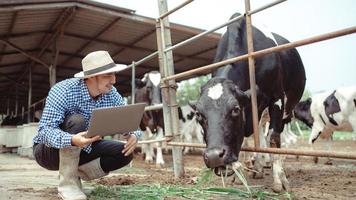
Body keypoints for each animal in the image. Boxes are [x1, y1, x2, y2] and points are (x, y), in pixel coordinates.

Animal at [192, 12, 306, 192]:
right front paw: (240, 176)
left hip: (287, 110)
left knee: (277, 135)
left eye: (235, 109)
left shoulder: (277, 98)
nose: (214, 156)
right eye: (198, 114)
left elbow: (273, 138)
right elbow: (247, 141)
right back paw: (258, 168)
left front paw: (279, 181)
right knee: (258, 134)